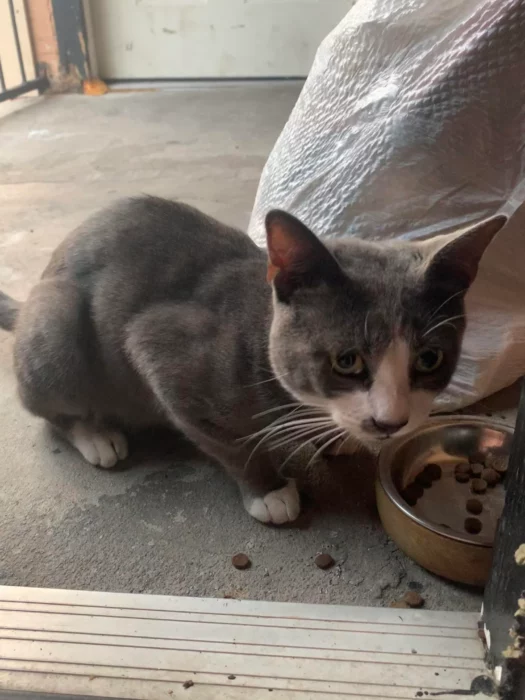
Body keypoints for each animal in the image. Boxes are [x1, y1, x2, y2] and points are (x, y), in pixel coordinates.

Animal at [0, 197, 506, 524]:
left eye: (429, 358)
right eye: (346, 361)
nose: (390, 422)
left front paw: (336, 437)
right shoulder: (160, 349)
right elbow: (232, 443)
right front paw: (269, 491)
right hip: (57, 323)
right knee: (45, 405)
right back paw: (96, 435)